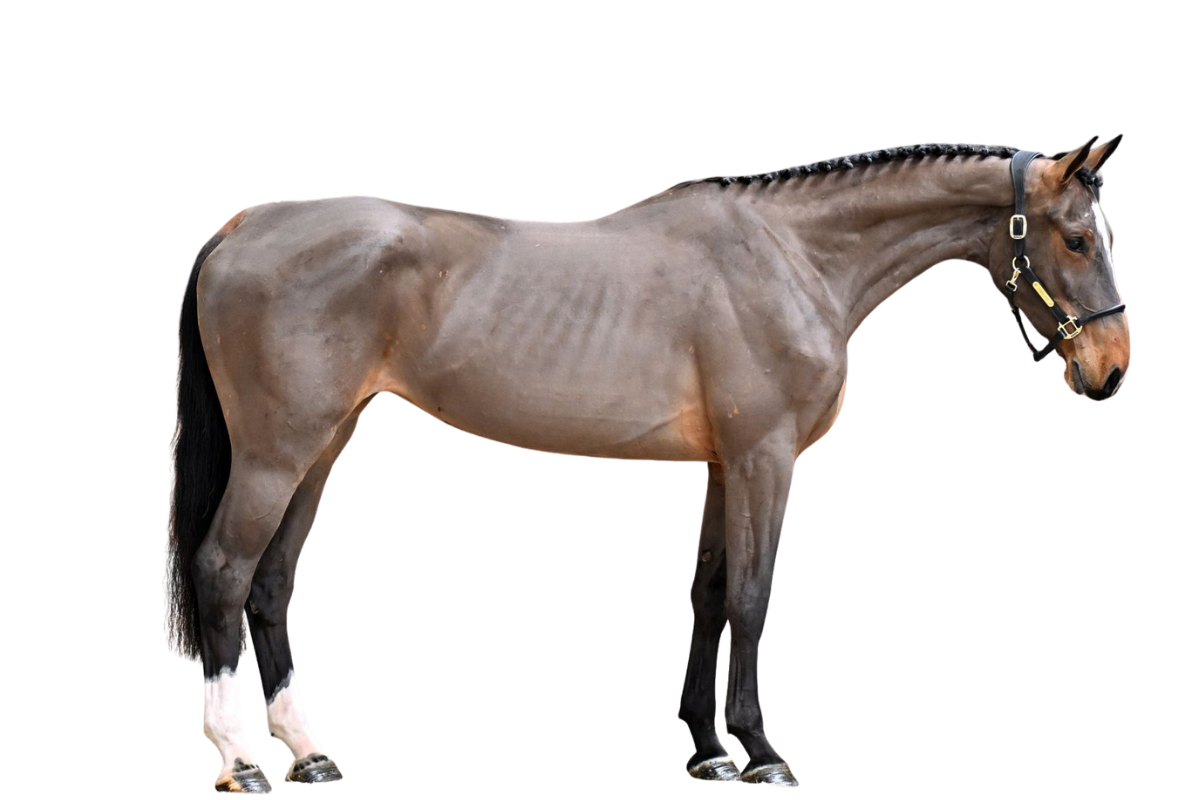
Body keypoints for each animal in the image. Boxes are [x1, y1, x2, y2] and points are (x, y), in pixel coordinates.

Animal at [167, 138, 1128, 792]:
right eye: (1076, 240)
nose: (1111, 369)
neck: (794, 257)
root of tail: (241, 228)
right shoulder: (765, 458)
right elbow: (750, 599)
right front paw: (763, 754)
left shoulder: (723, 464)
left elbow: (706, 593)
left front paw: (707, 753)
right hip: (276, 452)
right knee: (222, 570)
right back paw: (240, 761)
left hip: (323, 443)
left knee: (271, 581)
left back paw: (308, 754)